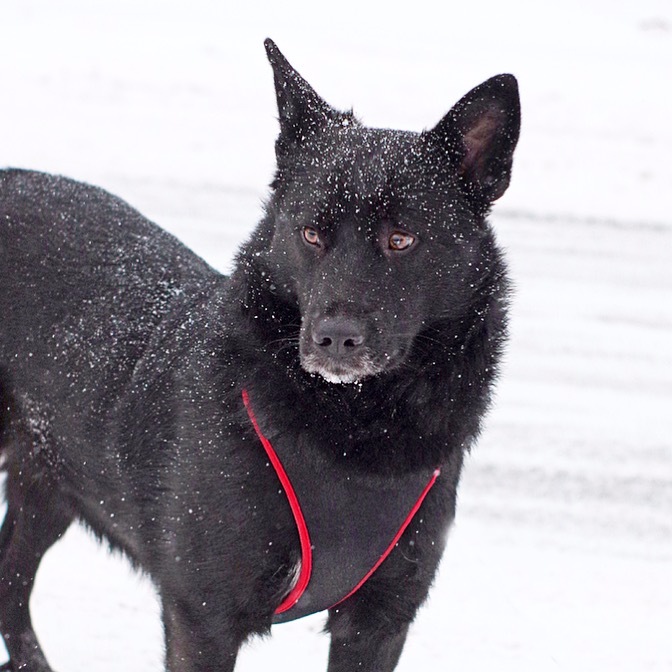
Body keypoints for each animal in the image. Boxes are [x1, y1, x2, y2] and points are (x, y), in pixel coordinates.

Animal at [0, 39, 520, 671]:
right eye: (311, 234)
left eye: (401, 239)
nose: (335, 338)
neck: (350, 431)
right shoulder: (202, 619)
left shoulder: (378, 624)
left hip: (47, 486)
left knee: (9, 584)